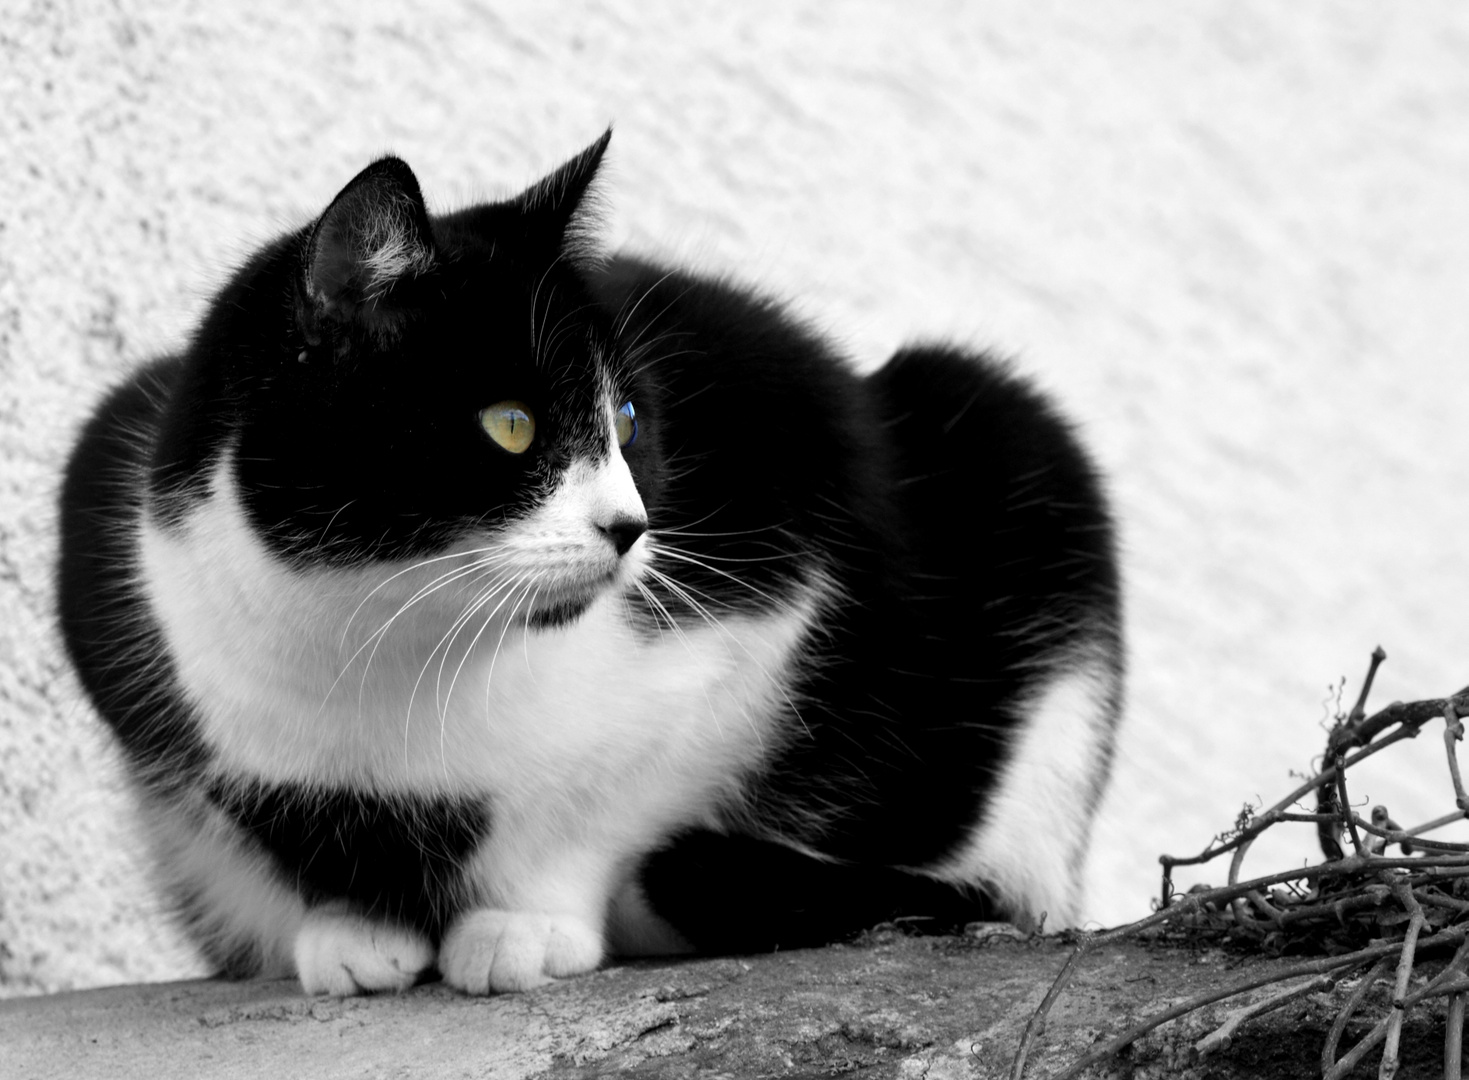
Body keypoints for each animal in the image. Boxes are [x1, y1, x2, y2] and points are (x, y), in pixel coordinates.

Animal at [51, 132, 1116, 999]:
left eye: (631, 422)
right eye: (511, 426)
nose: (631, 526)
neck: (384, 641)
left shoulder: (765, 603)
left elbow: (596, 804)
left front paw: (521, 925)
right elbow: (290, 834)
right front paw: (350, 932)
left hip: (1010, 439)